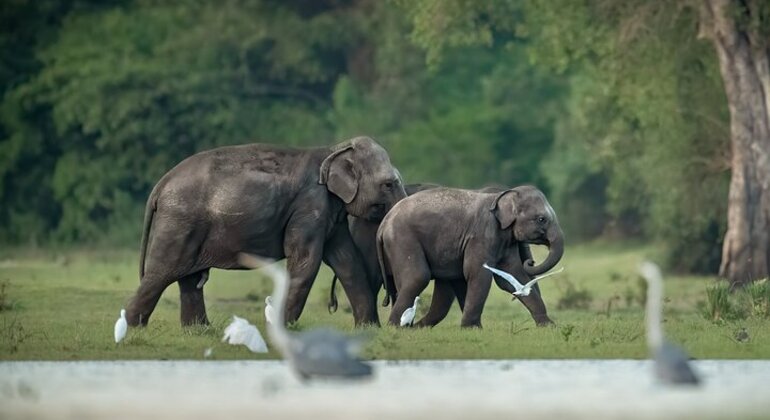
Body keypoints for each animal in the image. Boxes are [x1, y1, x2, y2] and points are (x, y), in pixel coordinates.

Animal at [126, 137, 404, 328]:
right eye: (388, 184)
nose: (386, 301)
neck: (332, 149)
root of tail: (160, 184)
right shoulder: (310, 206)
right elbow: (306, 262)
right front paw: (283, 328)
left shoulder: (331, 214)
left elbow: (347, 261)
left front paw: (369, 329)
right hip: (180, 221)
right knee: (162, 271)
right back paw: (131, 328)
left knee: (188, 279)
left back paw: (199, 330)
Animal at [376, 186, 560, 328]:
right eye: (541, 219)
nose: (531, 261)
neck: (499, 196)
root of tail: (384, 223)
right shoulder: (481, 236)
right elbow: (479, 274)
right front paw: (472, 328)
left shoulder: (505, 240)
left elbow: (513, 276)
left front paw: (548, 326)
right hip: (402, 239)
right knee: (418, 277)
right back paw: (396, 327)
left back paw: (413, 327)